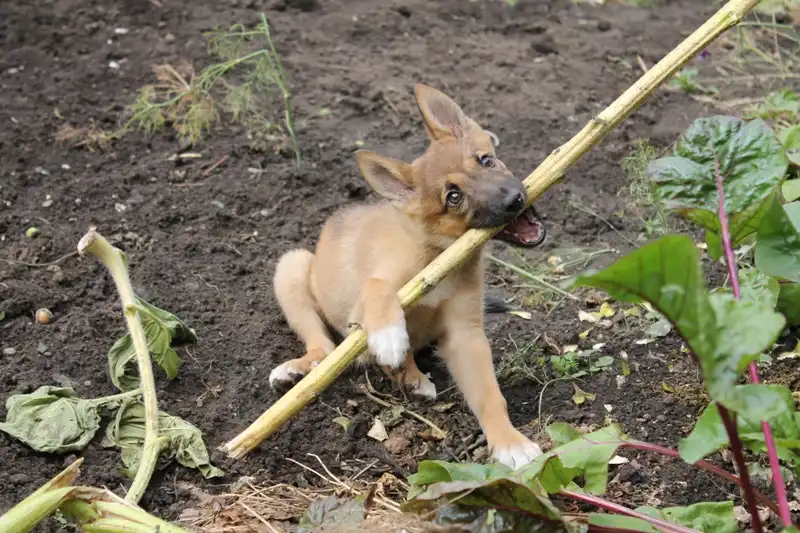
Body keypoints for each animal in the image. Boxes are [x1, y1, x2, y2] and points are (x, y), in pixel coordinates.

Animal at [269, 84, 547, 469]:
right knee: (323, 347)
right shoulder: (362, 307)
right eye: (453, 197)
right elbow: (378, 287)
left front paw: (510, 442)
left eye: (486, 161)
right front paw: (388, 336)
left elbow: (489, 394)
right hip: (292, 266)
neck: (439, 254)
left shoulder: (464, 334)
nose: (514, 200)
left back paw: (413, 376)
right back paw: (302, 369)